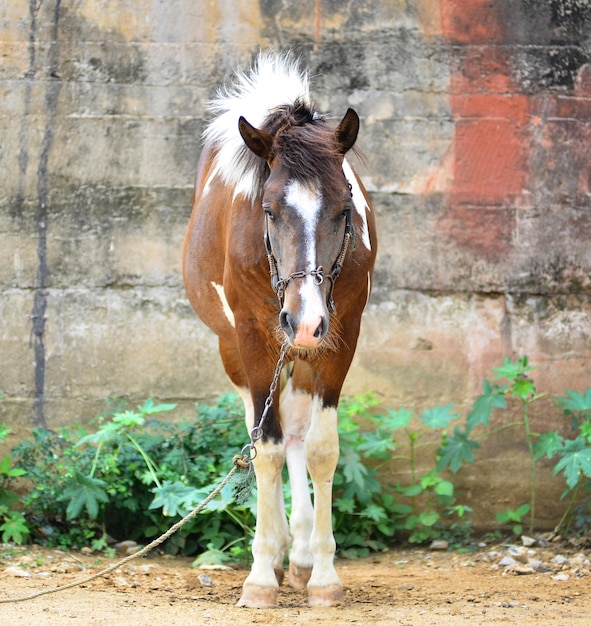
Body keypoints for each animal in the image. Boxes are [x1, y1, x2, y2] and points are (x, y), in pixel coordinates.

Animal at [183, 53, 376, 604]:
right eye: (268, 210)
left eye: (344, 209)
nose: (304, 318)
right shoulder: (253, 339)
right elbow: (263, 449)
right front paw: (260, 576)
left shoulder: (339, 338)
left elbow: (320, 449)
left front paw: (325, 576)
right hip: (240, 350)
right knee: (260, 430)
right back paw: (276, 548)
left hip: (303, 353)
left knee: (294, 431)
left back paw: (303, 555)